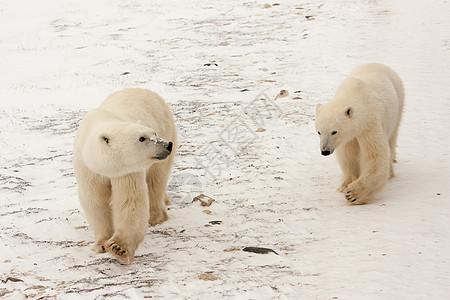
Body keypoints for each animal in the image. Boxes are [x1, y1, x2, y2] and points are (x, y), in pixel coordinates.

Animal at [73, 88, 177, 264]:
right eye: (141, 138)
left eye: (153, 132)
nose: (166, 145)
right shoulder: (89, 171)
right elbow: (95, 202)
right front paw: (102, 244)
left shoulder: (127, 171)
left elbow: (130, 200)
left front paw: (119, 247)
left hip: (166, 127)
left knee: (155, 180)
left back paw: (155, 216)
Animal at [316, 63, 404, 204]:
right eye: (319, 131)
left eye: (334, 131)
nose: (325, 151)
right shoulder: (348, 139)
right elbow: (348, 157)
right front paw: (345, 184)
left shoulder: (370, 125)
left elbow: (374, 156)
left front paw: (353, 193)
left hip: (398, 105)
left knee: (392, 139)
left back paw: (390, 173)